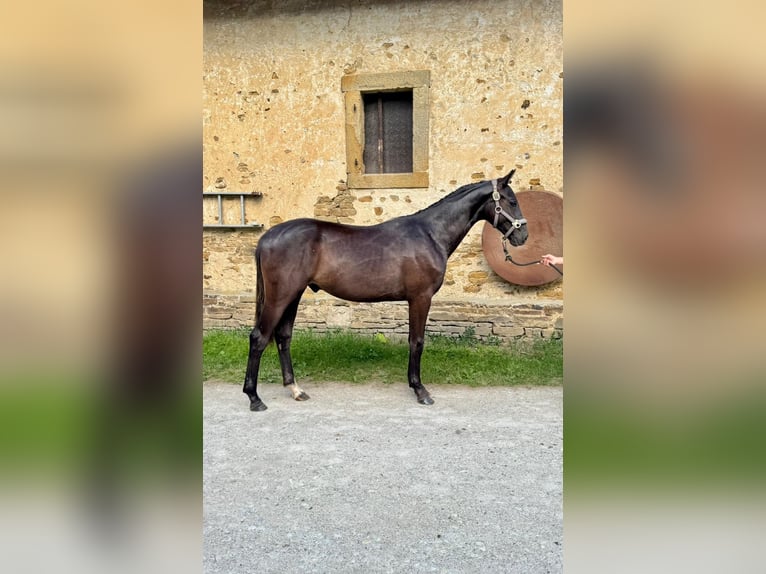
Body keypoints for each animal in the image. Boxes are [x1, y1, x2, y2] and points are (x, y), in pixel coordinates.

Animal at [243, 170, 528, 410]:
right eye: (511, 201)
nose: (523, 236)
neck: (430, 234)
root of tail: (267, 238)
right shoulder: (420, 298)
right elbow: (417, 341)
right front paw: (420, 390)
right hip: (280, 296)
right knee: (259, 337)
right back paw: (254, 398)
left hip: (294, 295)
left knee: (283, 337)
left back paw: (295, 389)